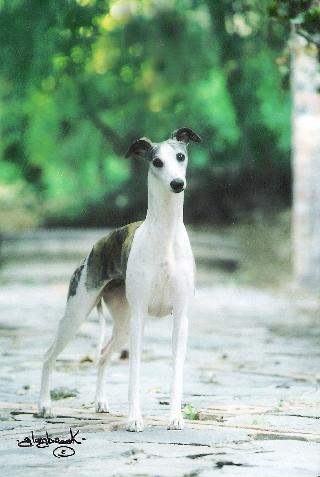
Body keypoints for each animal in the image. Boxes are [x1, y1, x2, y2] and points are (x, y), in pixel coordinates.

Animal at [37, 126, 201, 432]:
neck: (165, 237)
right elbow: (134, 370)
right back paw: (44, 406)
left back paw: (100, 402)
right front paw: (134, 419)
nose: (177, 184)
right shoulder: (140, 317)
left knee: (102, 355)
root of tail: (94, 247)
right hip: (78, 313)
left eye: (180, 156)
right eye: (156, 161)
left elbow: (176, 369)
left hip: (121, 324)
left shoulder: (181, 316)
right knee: (49, 354)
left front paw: (175, 417)